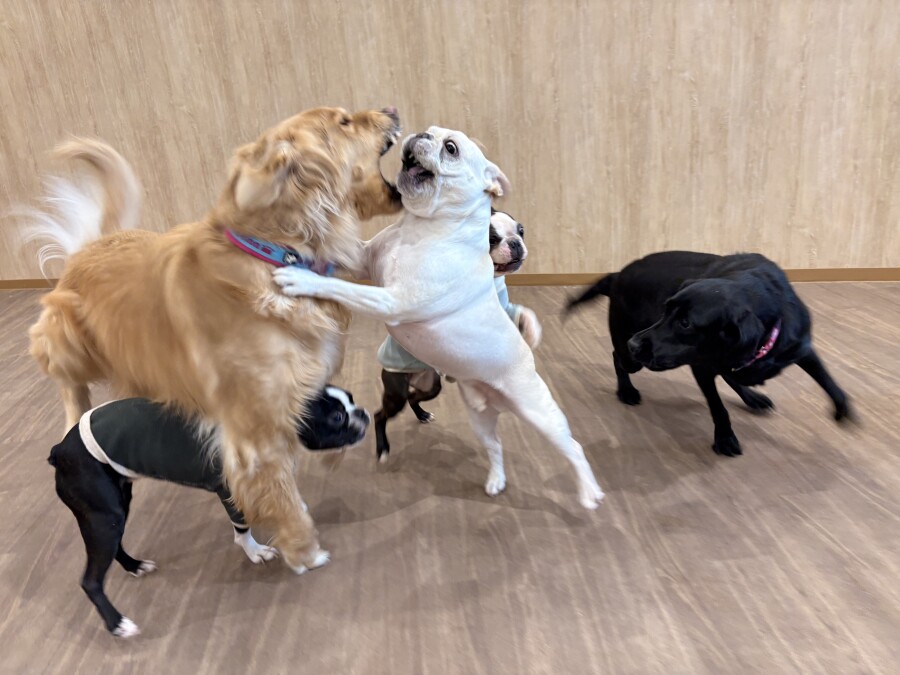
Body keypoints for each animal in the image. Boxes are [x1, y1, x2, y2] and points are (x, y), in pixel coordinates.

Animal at [23, 107, 402, 573]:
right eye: (344, 121)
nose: (391, 110)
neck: (275, 253)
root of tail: (93, 245)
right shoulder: (253, 430)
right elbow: (277, 492)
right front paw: (303, 550)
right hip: (66, 338)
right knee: (64, 377)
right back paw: (73, 414)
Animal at [49, 385, 369, 638]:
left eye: (352, 398)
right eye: (337, 417)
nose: (363, 412)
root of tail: (59, 451)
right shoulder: (230, 490)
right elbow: (242, 528)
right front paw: (256, 552)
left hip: (116, 506)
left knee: (115, 547)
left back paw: (135, 566)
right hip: (104, 517)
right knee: (91, 580)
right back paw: (118, 624)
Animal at [373, 207, 541, 461]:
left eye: (521, 231)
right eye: (491, 239)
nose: (515, 242)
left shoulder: (504, 310)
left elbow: (524, 313)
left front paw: (531, 333)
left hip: (431, 385)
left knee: (414, 397)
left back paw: (423, 415)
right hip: (396, 393)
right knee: (380, 414)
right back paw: (382, 448)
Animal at [566, 251, 851, 456]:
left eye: (685, 323)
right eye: (665, 309)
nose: (634, 344)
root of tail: (617, 275)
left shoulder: (801, 348)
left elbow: (828, 380)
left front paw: (843, 410)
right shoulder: (701, 368)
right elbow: (718, 407)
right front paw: (725, 439)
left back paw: (752, 398)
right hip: (629, 354)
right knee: (618, 358)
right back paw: (626, 390)